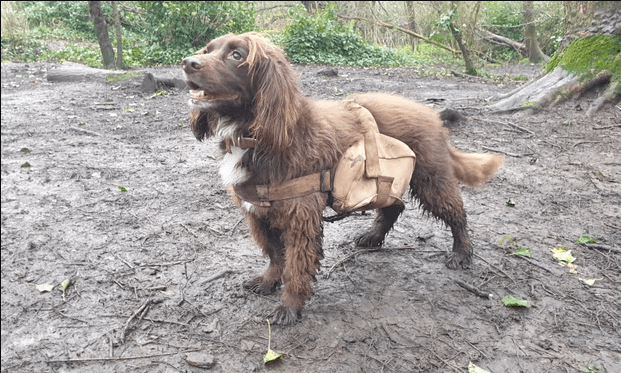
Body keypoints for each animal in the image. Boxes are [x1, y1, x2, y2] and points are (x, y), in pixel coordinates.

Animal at [182, 32, 502, 324]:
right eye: (207, 50)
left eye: (237, 55)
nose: (187, 62)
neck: (257, 137)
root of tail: (432, 114)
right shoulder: (258, 211)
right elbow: (275, 254)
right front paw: (269, 279)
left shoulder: (300, 215)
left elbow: (296, 264)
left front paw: (290, 306)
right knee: (394, 206)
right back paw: (373, 236)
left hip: (431, 179)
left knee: (456, 213)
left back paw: (462, 253)